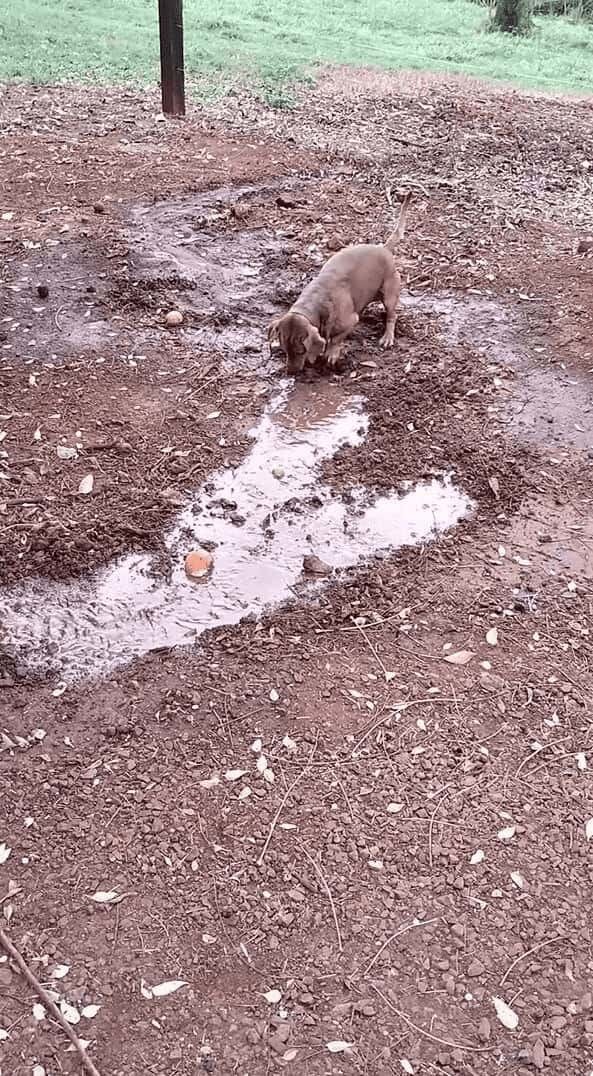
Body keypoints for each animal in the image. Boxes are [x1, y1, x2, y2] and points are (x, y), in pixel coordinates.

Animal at [270, 193, 413, 374]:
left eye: (301, 351)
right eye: (284, 349)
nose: (290, 372)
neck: (316, 303)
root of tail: (384, 248)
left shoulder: (350, 321)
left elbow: (335, 339)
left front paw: (331, 354)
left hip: (389, 295)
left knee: (392, 316)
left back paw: (387, 336)